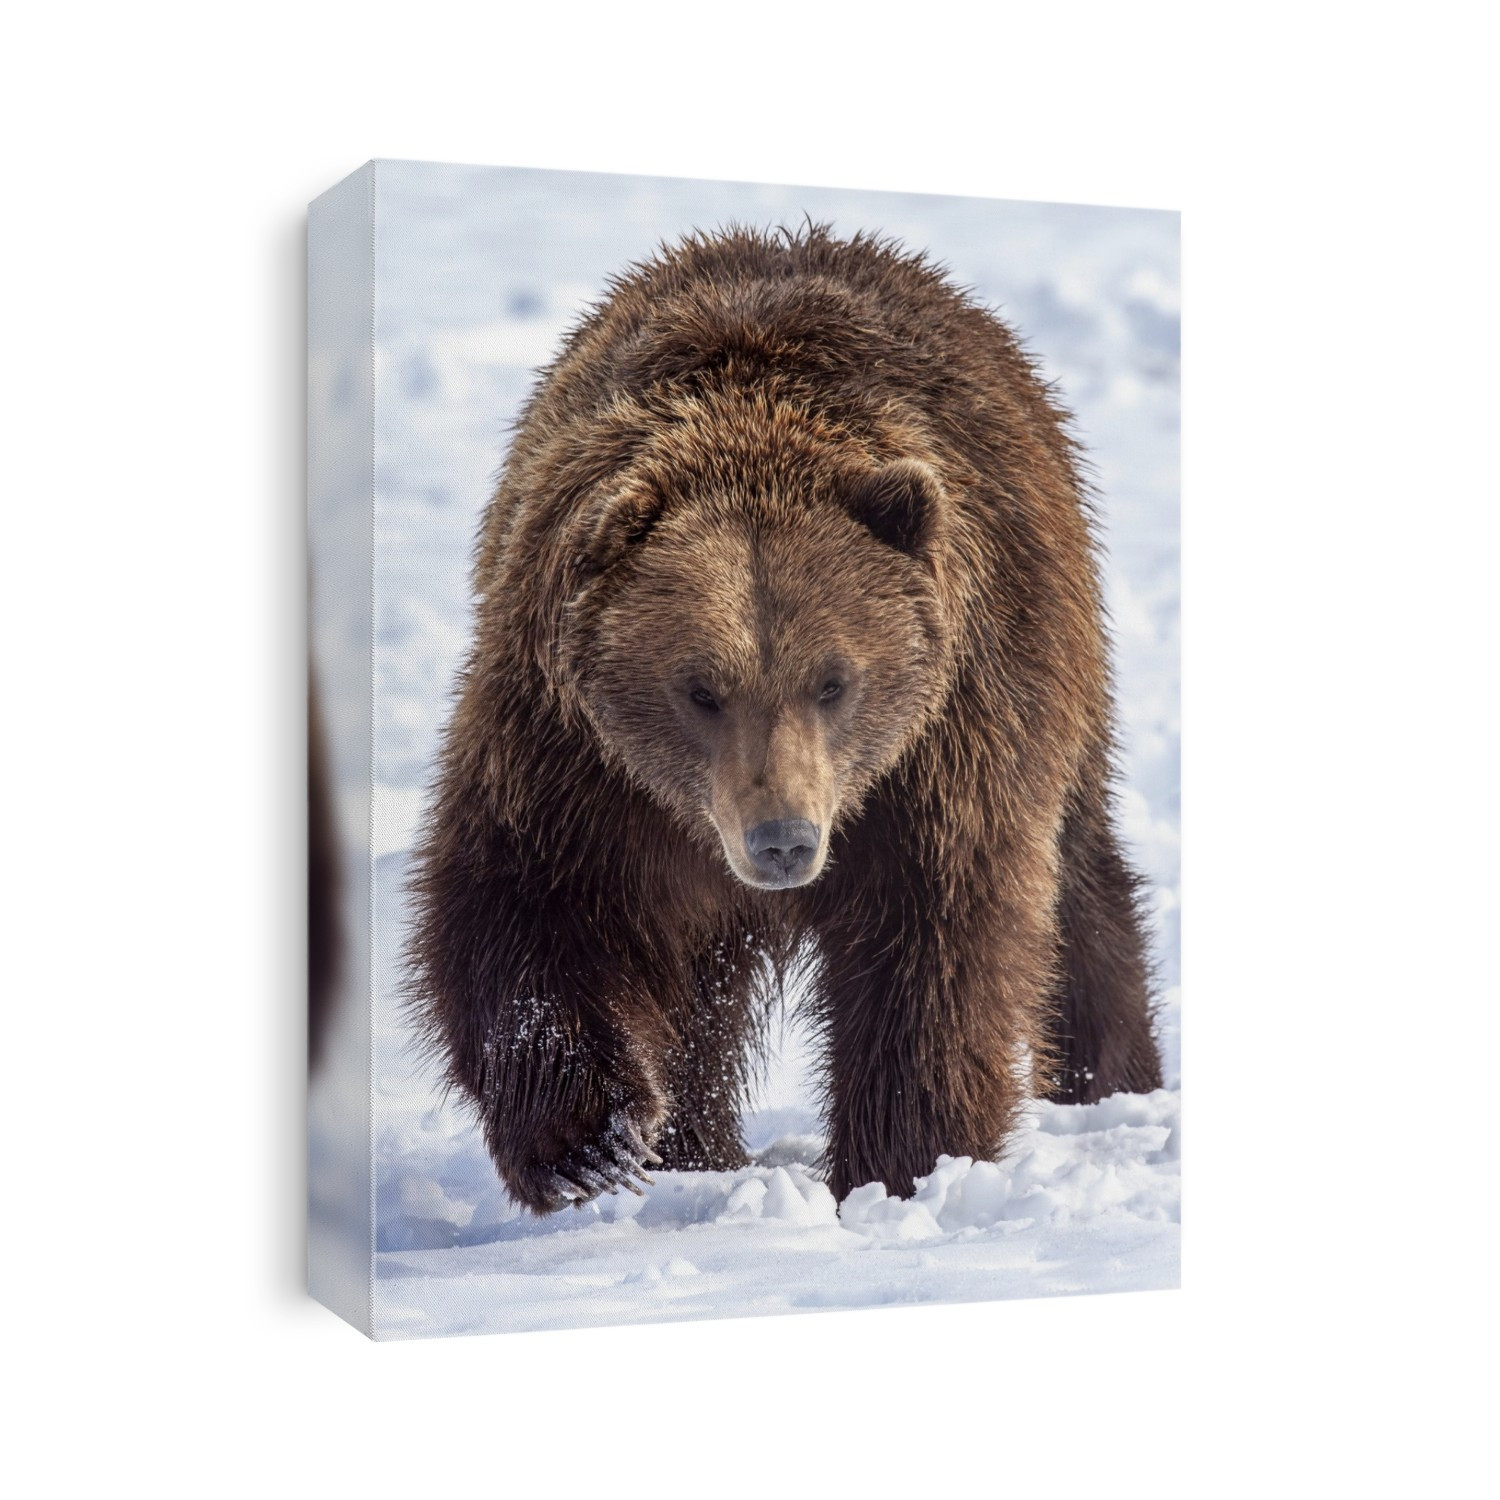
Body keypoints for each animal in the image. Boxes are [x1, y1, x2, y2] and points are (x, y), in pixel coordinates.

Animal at [406, 224, 1162, 1214]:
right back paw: (697, 1151)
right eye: (700, 688)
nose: (782, 842)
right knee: (697, 992)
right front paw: (592, 1145)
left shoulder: (940, 748)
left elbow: (936, 940)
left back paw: (1112, 1083)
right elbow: (526, 900)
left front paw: (901, 1163)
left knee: (1079, 885)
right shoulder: (574, 752)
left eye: (833, 681)